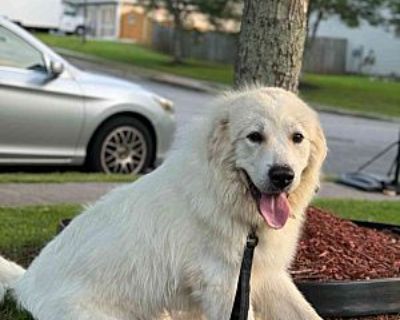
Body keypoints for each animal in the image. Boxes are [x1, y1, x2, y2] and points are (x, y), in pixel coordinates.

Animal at [0, 86, 326, 318]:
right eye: (255, 136)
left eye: (297, 137)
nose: (282, 175)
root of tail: (26, 280)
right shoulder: (225, 286)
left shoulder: (266, 276)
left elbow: (307, 313)